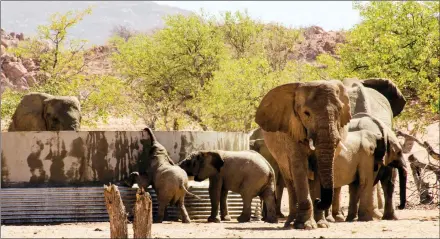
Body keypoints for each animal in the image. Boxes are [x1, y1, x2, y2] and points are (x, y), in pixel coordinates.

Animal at [254, 79, 350, 229]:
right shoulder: (292, 127)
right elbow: (299, 167)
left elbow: (317, 168)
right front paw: (305, 225)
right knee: (290, 179)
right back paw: (290, 223)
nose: (318, 200)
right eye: (306, 113)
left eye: (339, 111)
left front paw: (321, 224)